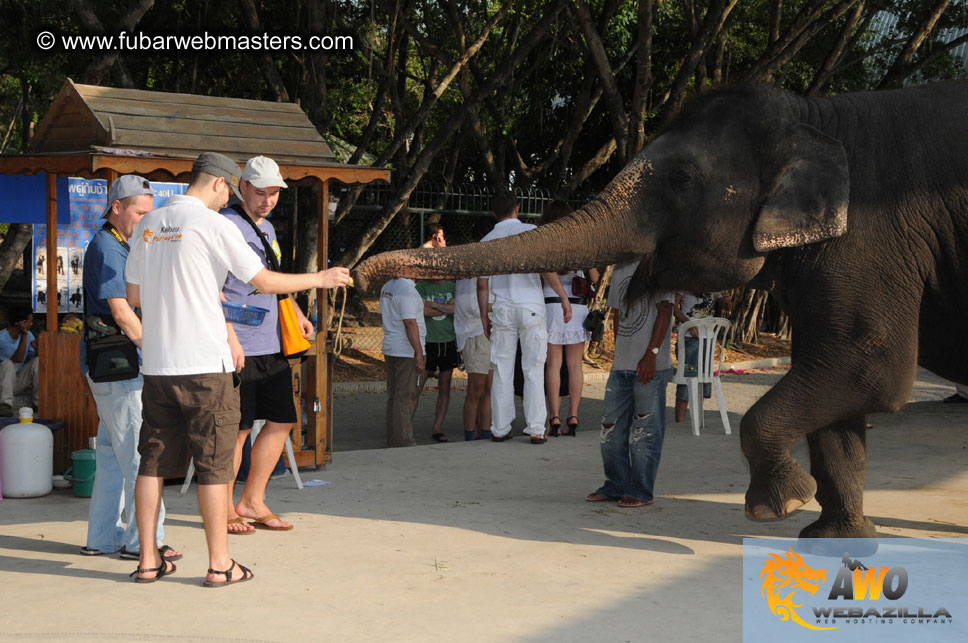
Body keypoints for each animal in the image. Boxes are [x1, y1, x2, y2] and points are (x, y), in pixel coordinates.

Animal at [358, 82, 968, 544]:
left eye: (680, 179)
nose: (362, 275)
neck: (817, 113)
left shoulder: (874, 238)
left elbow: (871, 367)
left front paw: (779, 508)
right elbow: (842, 380)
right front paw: (833, 538)